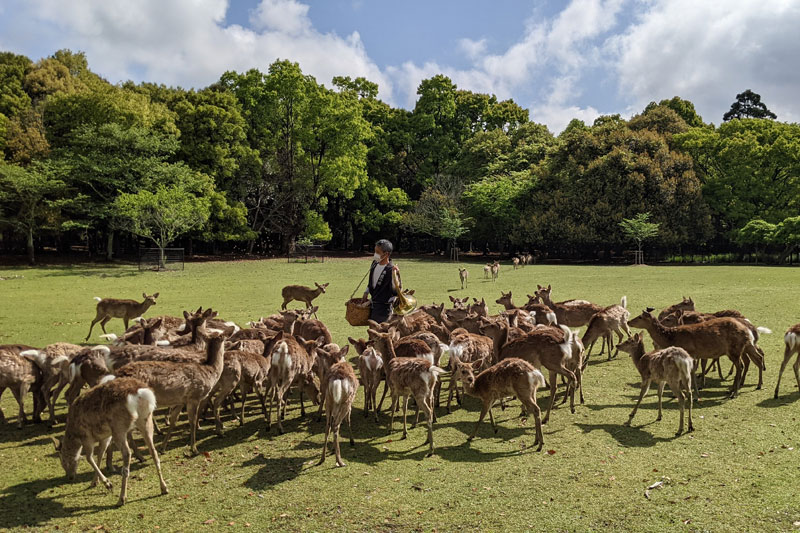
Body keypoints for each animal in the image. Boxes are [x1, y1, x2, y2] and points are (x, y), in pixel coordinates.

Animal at [52, 376, 169, 504]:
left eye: (62, 460)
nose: (70, 477)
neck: (74, 434)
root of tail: (140, 392)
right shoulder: (106, 436)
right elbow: (100, 454)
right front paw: (94, 482)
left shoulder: (87, 436)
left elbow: (89, 458)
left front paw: (107, 483)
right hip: (145, 420)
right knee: (154, 452)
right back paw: (164, 488)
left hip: (119, 427)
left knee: (127, 454)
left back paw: (122, 498)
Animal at [624, 308, 764, 400]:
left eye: (640, 317)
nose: (629, 322)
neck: (672, 338)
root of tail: (747, 328)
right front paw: (691, 393)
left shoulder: (690, 353)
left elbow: (691, 373)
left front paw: (688, 394)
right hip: (746, 346)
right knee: (756, 357)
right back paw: (754, 385)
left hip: (735, 350)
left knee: (741, 365)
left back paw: (734, 393)